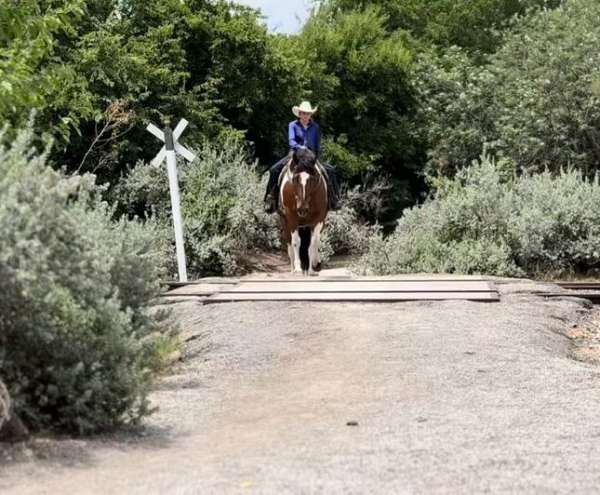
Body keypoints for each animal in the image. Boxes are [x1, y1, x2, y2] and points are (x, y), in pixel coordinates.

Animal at [278, 149, 328, 278]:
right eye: (295, 179)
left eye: (312, 179)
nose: (302, 209)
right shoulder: (292, 218)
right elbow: (296, 242)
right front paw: (298, 269)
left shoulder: (318, 219)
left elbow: (313, 243)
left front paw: (311, 269)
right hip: (285, 222)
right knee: (290, 243)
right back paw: (292, 268)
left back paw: (315, 263)